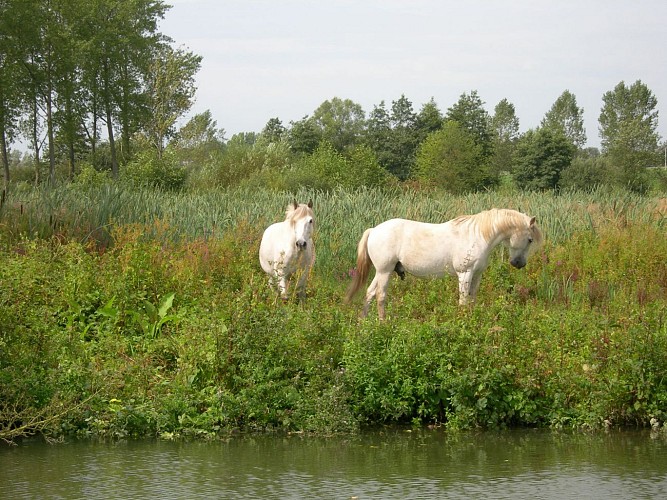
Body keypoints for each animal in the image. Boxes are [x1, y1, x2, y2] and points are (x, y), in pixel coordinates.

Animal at [344, 208, 544, 320]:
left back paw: (362, 323)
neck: (479, 235)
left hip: (381, 272)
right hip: (384, 272)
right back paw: (383, 323)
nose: (519, 263)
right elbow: (463, 301)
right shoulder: (465, 274)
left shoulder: (477, 275)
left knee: (369, 293)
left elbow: (472, 300)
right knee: (380, 296)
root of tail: (374, 230)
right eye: (530, 239)